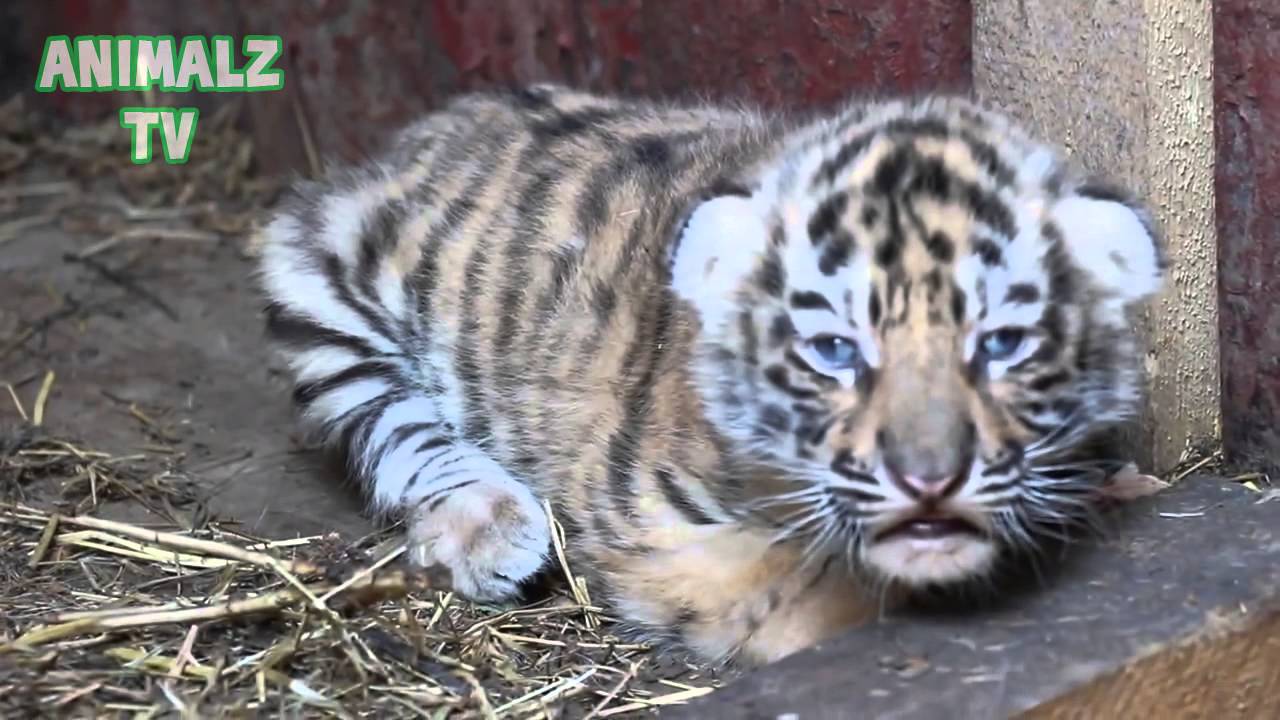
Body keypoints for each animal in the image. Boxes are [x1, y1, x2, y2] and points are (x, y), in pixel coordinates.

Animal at [255, 84, 1164, 665]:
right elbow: (801, 594)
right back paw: (487, 525)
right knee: (394, 423)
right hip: (321, 268)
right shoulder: (661, 537)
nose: (930, 478)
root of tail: (433, 130)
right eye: (835, 350)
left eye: (1002, 343)